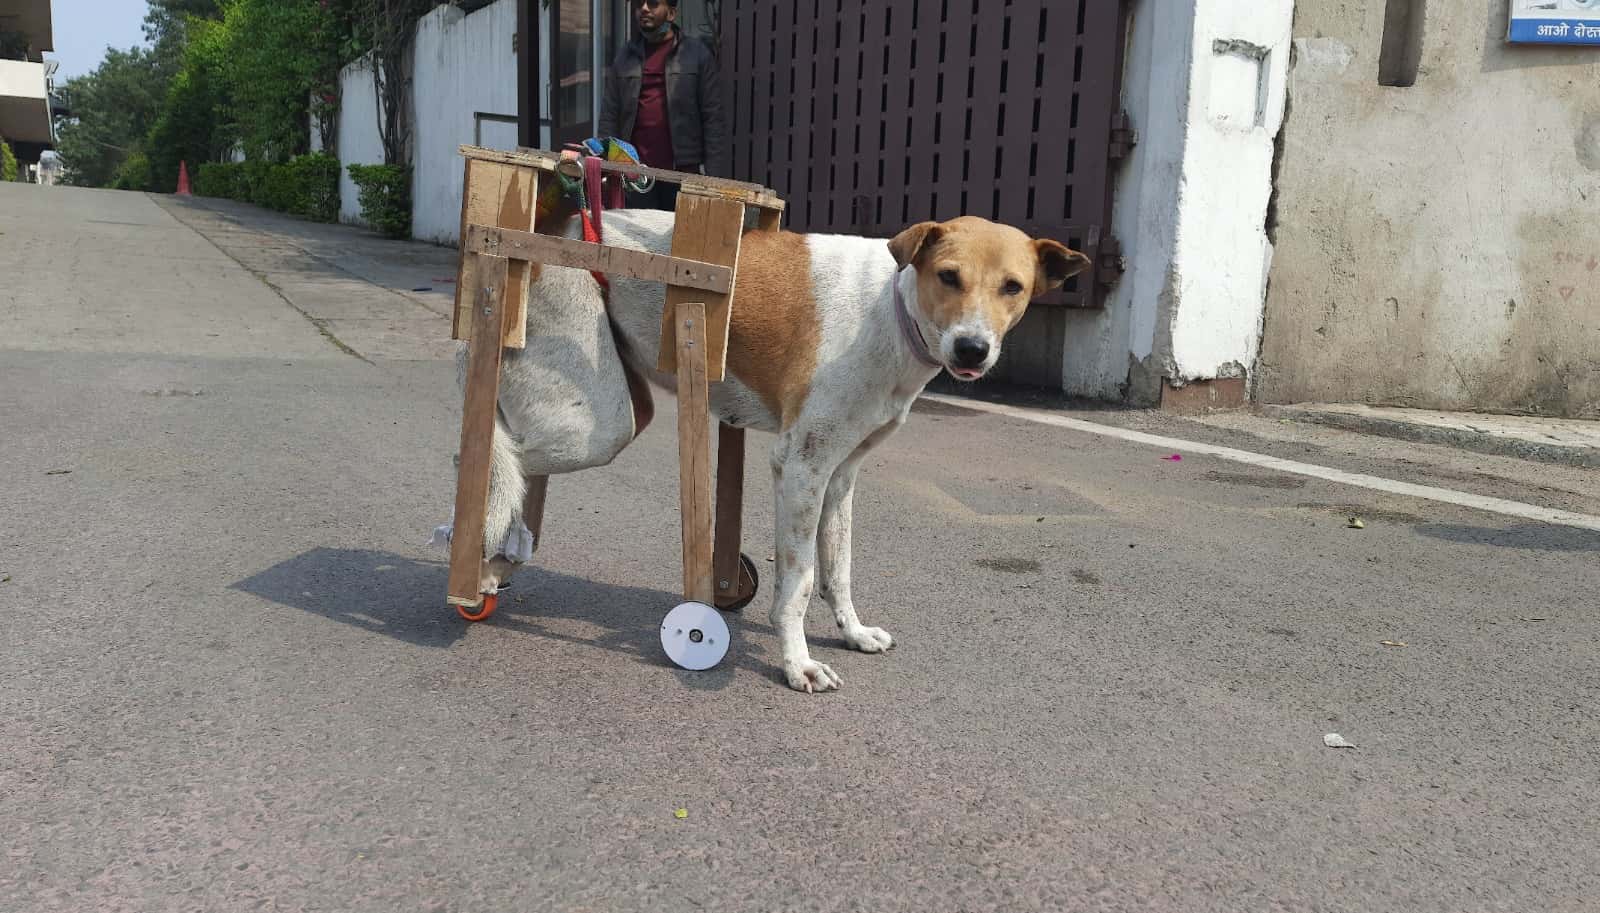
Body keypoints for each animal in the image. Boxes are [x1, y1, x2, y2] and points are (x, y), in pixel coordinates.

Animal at [480, 209, 1094, 693]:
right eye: (949, 276)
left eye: (1013, 287)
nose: (972, 349)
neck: (893, 312)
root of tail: (559, 228)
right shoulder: (801, 467)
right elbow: (797, 585)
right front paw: (798, 664)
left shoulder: (840, 474)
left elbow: (838, 569)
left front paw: (852, 633)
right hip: (597, 426)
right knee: (495, 456)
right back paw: (481, 561)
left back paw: (505, 555)